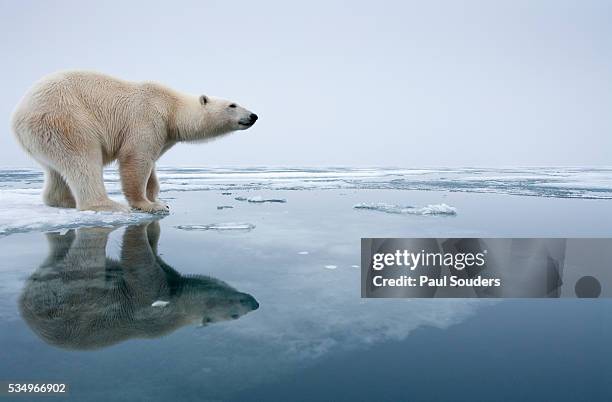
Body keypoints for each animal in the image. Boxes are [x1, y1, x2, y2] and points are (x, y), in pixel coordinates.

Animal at [11, 71, 256, 214]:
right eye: (233, 105)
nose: (253, 116)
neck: (171, 108)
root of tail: (17, 116)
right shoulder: (147, 118)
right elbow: (136, 159)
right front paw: (148, 205)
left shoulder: (163, 134)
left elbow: (152, 166)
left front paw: (159, 199)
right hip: (66, 118)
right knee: (83, 158)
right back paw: (108, 205)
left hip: (44, 135)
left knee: (56, 169)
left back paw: (65, 201)